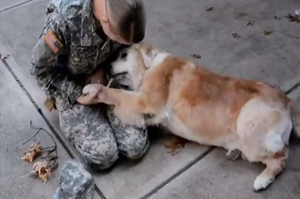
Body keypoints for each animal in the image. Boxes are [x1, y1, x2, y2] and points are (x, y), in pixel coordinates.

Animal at [83, 42, 300, 191]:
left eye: (124, 55)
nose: (106, 68)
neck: (149, 67)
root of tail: (286, 100)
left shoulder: (146, 101)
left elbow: (117, 94)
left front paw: (95, 89)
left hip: (248, 122)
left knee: (281, 156)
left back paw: (263, 179)